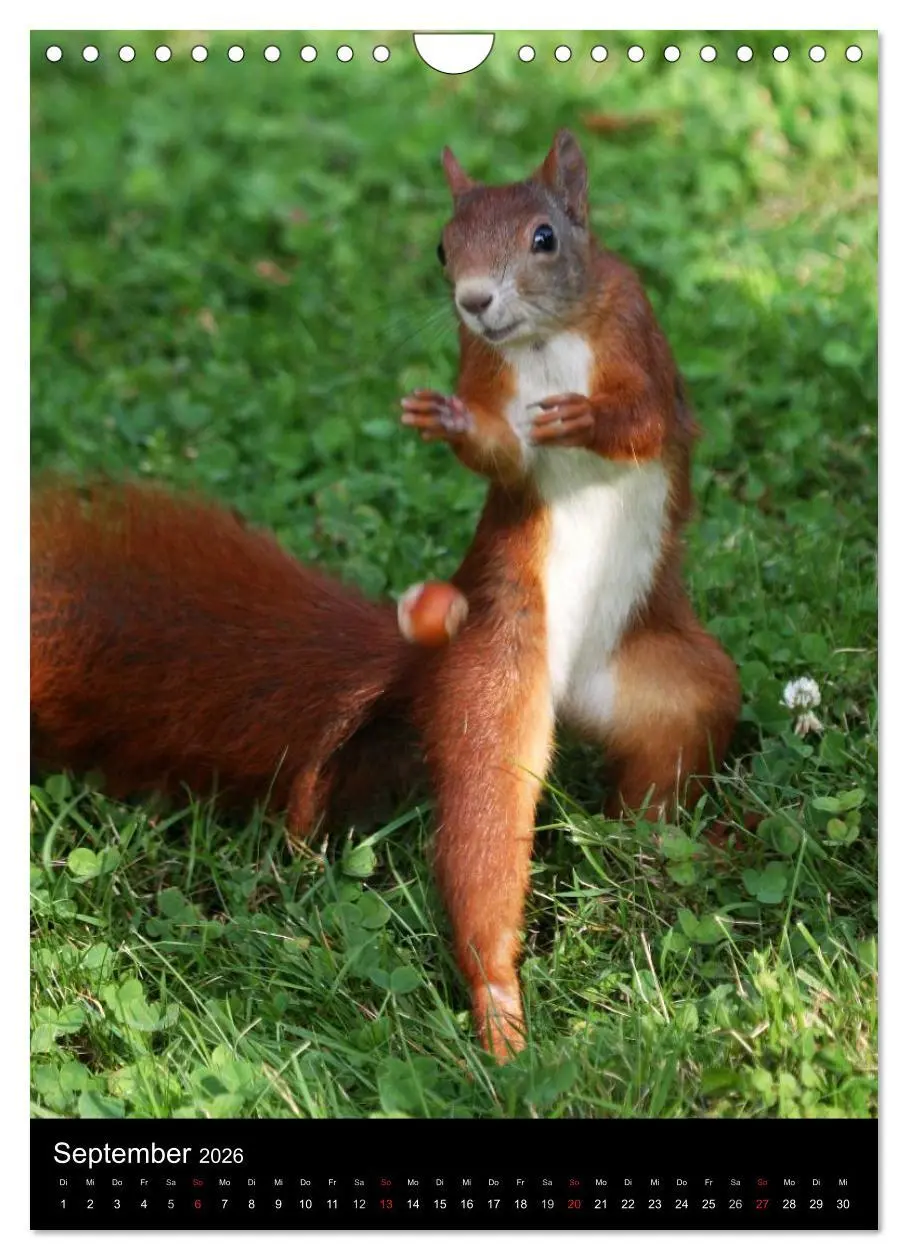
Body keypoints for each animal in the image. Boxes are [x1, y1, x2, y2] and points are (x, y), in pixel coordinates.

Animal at [399, 129, 741, 1058]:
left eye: (545, 238)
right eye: (442, 246)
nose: (475, 300)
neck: (545, 341)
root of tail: (571, 695)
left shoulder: (638, 330)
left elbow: (646, 418)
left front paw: (587, 419)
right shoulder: (482, 370)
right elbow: (505, 453)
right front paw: (452, 423)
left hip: (674, 683)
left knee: (667, 757)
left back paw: (654, 848)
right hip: (496, 682)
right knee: (484, 839)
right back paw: (500, 1009)